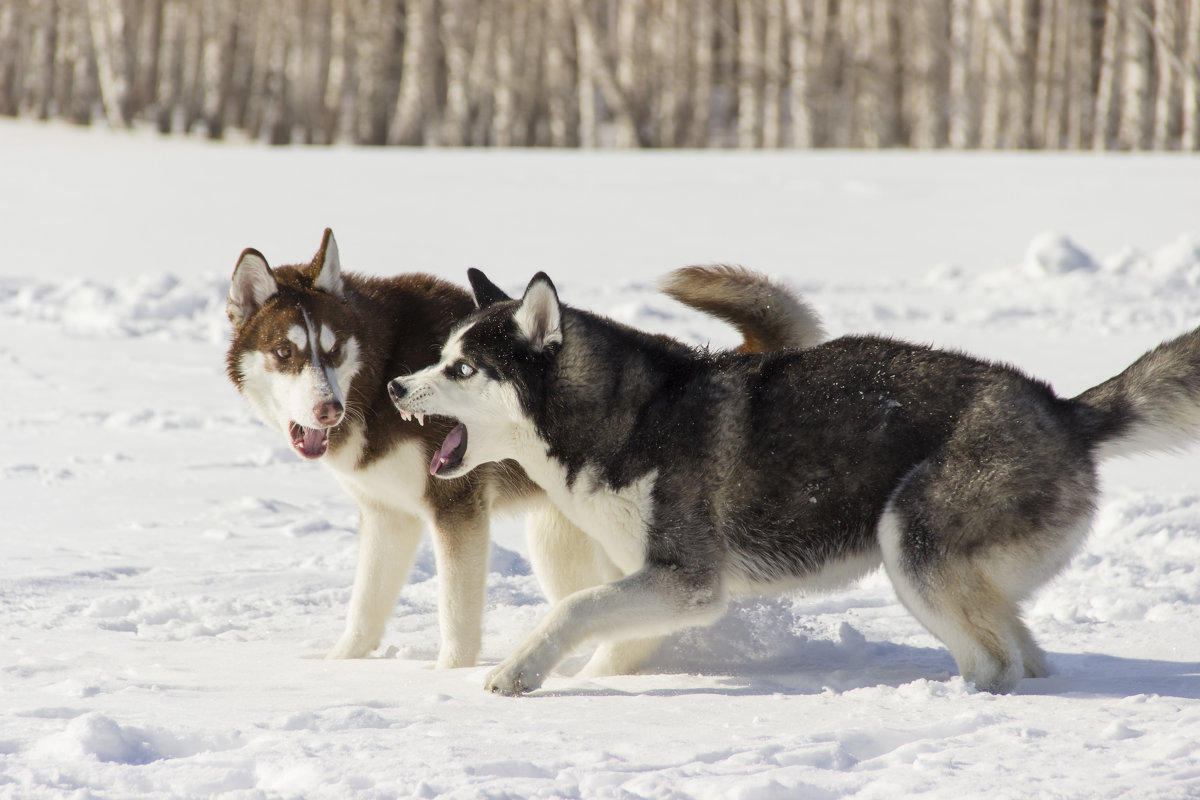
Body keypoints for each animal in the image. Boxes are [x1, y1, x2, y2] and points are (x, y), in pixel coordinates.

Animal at [225, 231, 825, 671]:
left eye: (331, 350)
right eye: (285, 353)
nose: (326, 410)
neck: (375, 375)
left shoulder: (456, 509)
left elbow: (456, 615)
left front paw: (447, 677)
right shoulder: (387, 514)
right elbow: (365, 607)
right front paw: (339, 667)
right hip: (561, 539)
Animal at [386, 268, 1200, 695]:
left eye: (463, 369)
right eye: (440, 355)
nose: (394, 387)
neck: (624, 417)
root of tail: (1062, 407)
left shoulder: (687, 580)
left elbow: (573, 607)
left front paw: (519, 671)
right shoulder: (661, 585)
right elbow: (612, 635)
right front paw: (601, 679)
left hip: (912, 545)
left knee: (990, 660)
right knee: (1021, 653)